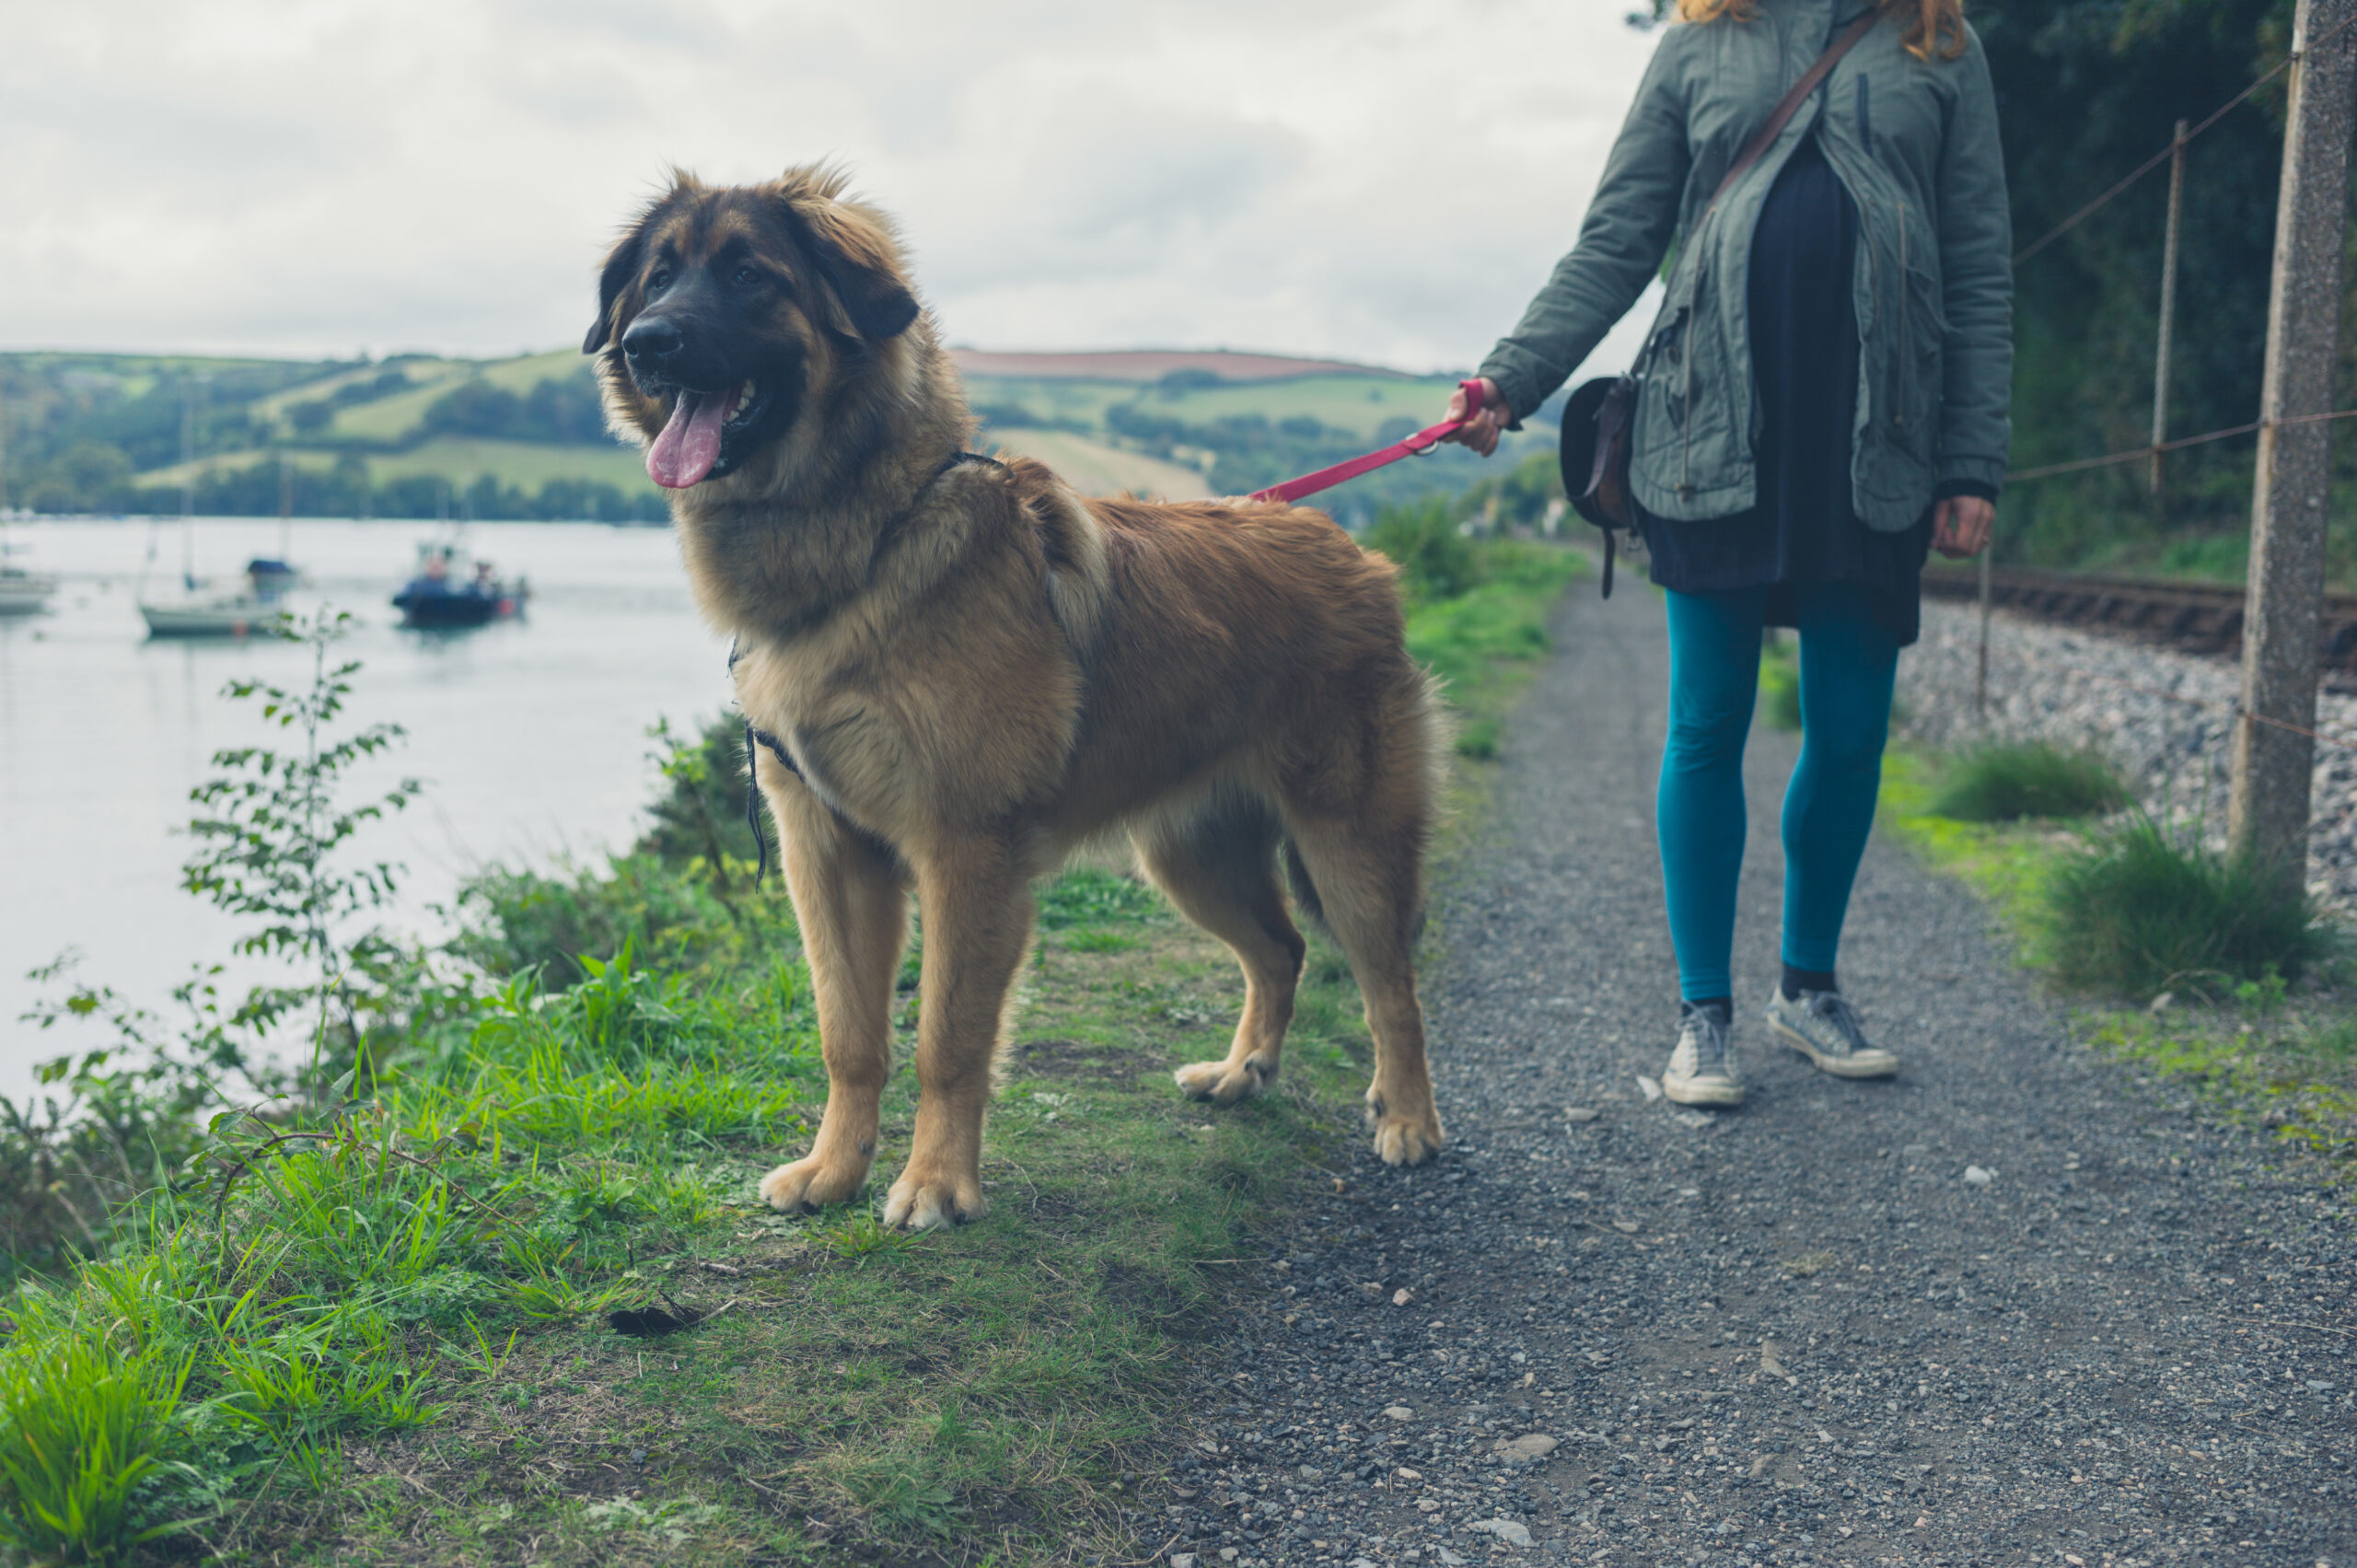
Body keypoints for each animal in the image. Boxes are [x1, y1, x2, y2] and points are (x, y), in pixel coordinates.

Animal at [582, 168, 1442, 1225]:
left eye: (749, 274)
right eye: (659, 277)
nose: (646, 341)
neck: (870, 542)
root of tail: (1355, 552)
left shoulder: (966, 850)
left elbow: (946, 1039)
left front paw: (934, 1184)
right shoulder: (826, 849)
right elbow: (847, 1033)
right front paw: (833, 1170)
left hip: (1349, 841)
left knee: (1389, 979)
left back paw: (1408, 1118)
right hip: (1190, 854)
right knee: (1280, 950)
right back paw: (1242, 1073)